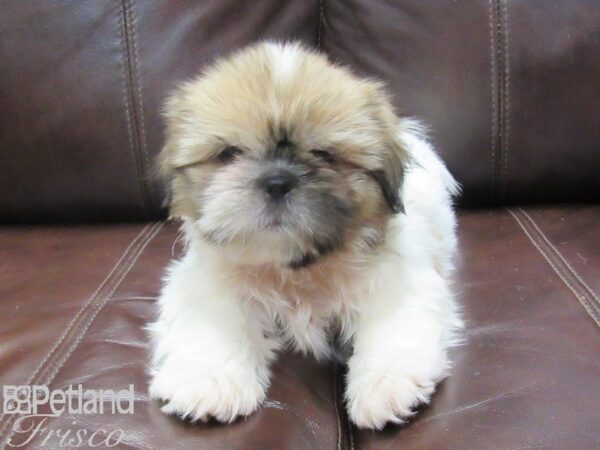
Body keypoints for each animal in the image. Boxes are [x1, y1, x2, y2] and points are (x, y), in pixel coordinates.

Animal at [149, 41, 460, 428]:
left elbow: (392, 327)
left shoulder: (399, 278)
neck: (295, 270)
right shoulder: (203, 283)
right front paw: (208, 383)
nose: (277, 181)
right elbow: (213, 325)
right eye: (229, 153)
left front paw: (386, 386)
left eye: (324, 154)